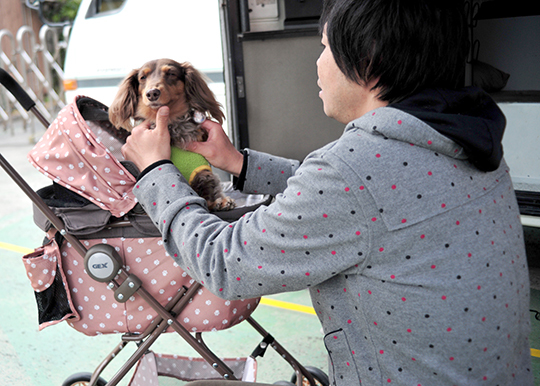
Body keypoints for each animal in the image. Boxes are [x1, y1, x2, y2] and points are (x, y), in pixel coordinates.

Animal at [109, 58, 234, 211]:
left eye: (171, 73)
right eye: (142, 77)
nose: (152, 93)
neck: (170, 124)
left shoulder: (203, 173)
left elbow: (207, 193)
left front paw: (218, 201)